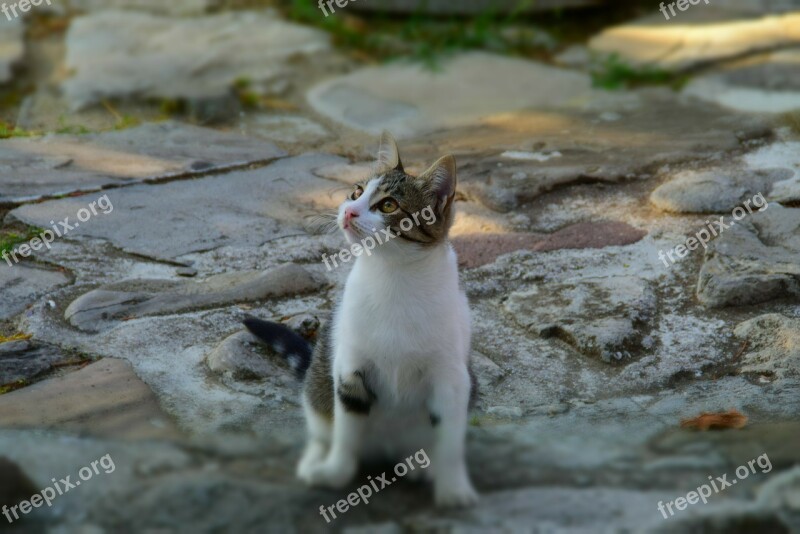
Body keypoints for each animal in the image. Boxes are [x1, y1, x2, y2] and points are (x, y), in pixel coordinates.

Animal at [244, 132, 478, 508]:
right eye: (356, 192)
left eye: (388, 205)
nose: (349, 209)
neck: (392, 276)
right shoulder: (349, 369)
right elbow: (346, 434)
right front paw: (335, 473)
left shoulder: (452, 379)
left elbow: (450, 440)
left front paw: (453, 487)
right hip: (319, 384)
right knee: (321, 426)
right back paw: (314, 460)